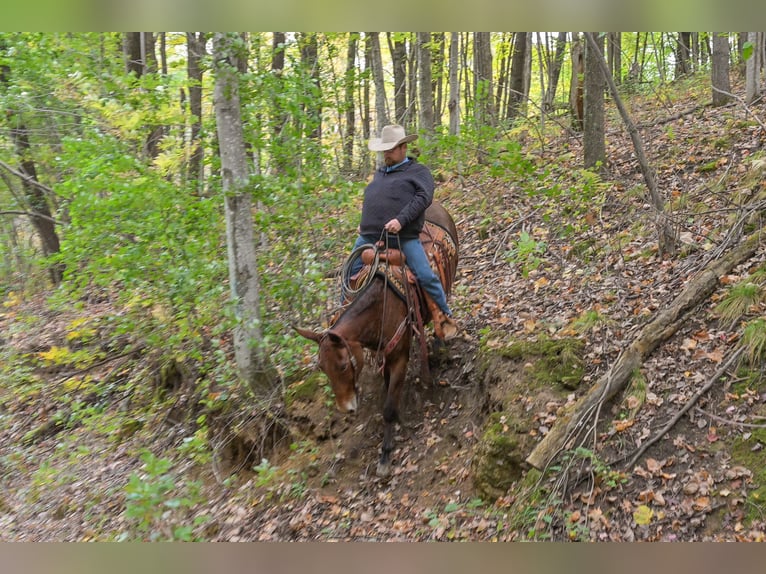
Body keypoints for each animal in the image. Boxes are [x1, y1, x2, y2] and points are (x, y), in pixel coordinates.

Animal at [295, 201, 459, 477]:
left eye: (342, 366)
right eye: (322, 368)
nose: (346, 408)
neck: (381, 305)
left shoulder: (399, 357)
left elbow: (388, 407)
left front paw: (385, 454)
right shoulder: (382, 353)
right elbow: (386, 388)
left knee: (441, 304)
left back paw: (441, 340)